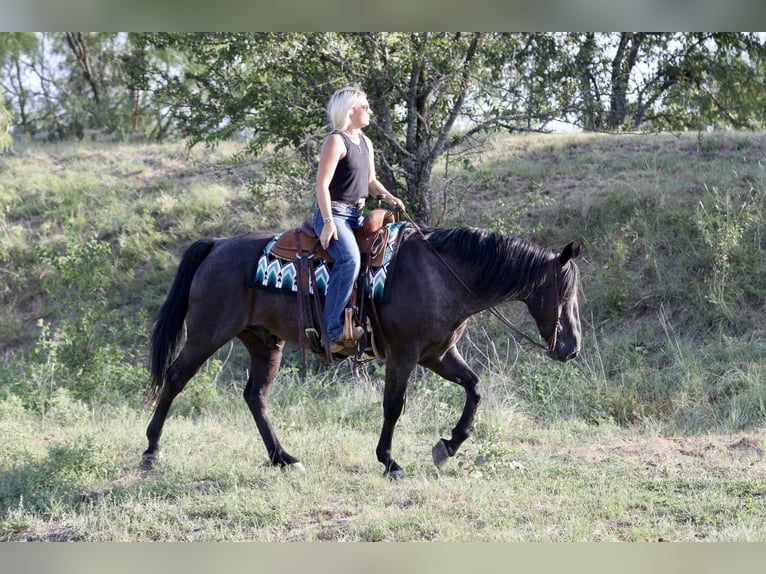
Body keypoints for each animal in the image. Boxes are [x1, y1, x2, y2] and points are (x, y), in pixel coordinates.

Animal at [142, 223, 582, 478]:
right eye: (563, 292)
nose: (572, 348)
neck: (441, 276)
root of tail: (217, 245)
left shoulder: (438, 355)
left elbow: (475, 388)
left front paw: (448, 446)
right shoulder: (405, 355)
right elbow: (393, 407)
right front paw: (389, 461)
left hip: (264, 342)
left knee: (256, 396)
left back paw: (283, 458)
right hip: (206, 333)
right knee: (175, 379)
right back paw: (151, 451)